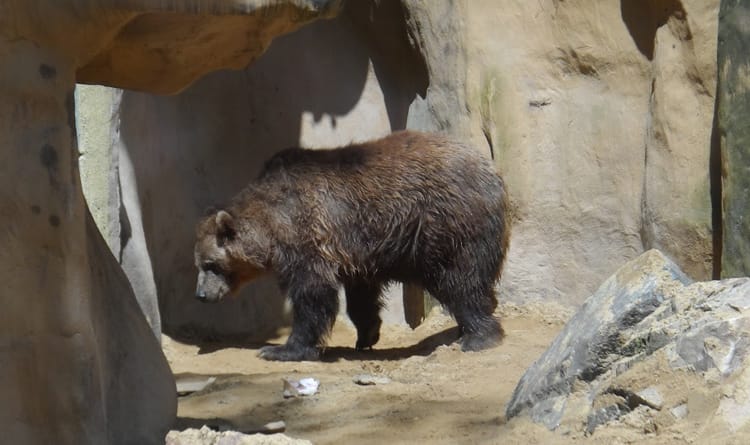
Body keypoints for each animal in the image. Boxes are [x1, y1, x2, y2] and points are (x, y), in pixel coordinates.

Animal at [194, 129, 512, 360]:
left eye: (210, 264)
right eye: (198, 263)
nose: (201, 295)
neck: (272, 228)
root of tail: (494, 172)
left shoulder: (309, 236)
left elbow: (312, 295)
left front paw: (281, 349)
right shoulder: (357, 252)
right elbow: (361, 296)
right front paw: (367, 334)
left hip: (445, 223)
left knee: (460, 281)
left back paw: (478, 336)